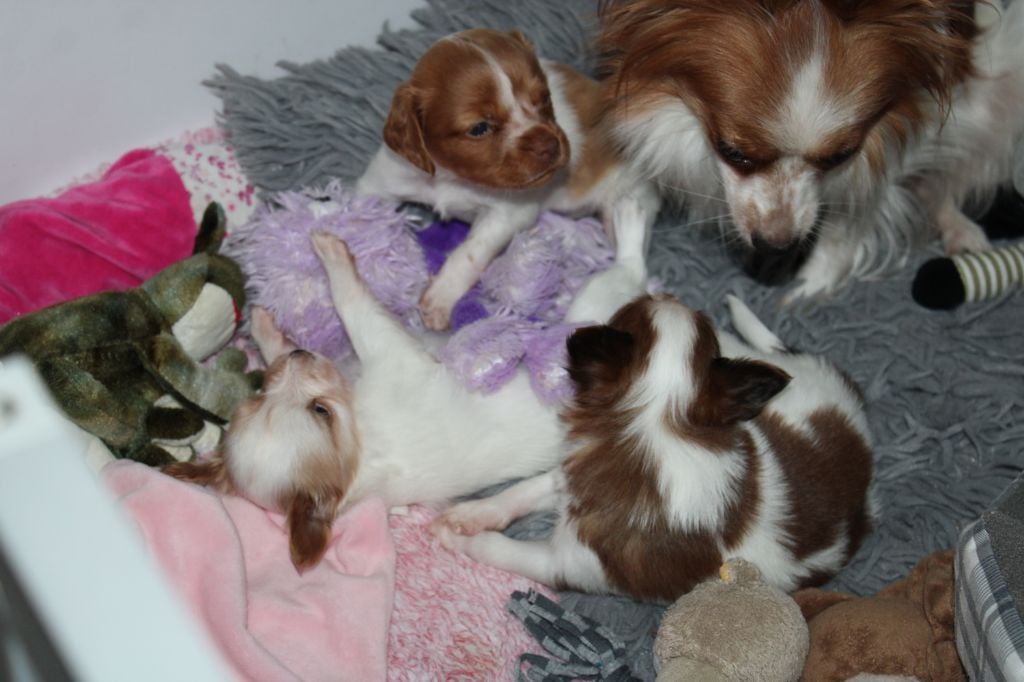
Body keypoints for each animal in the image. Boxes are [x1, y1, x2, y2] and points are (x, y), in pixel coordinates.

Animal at [163, 199, 651, 569]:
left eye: (257, 399)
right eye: (320, 412)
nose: (300, 356)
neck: (359, 442)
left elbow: (327, 319)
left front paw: (271, 326)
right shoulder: (393, 354)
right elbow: (353, 302)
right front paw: (330, 256)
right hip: (601, 317)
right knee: (631, 274)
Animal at [356, 27, 659, 329]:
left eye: (544, 99)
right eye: (480, 128)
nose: (550, 145)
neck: (451, 177)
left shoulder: (507, 215)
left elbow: (469, 253)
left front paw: (440, 297)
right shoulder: (384, 180)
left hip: (629, 199)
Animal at [432, 294, 872, 598]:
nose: (665, 292)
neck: (660, 413)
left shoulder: (571, 562)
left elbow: (502, 550)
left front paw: (458, 540)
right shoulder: (579, 479)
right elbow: (525, 489)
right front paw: (473, 513)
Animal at [598, 0, 1024, 296]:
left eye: (839, 157)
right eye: (733, 152)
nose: (776, 244)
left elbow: (849, 218)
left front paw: (810, 283)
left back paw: (960, 229)